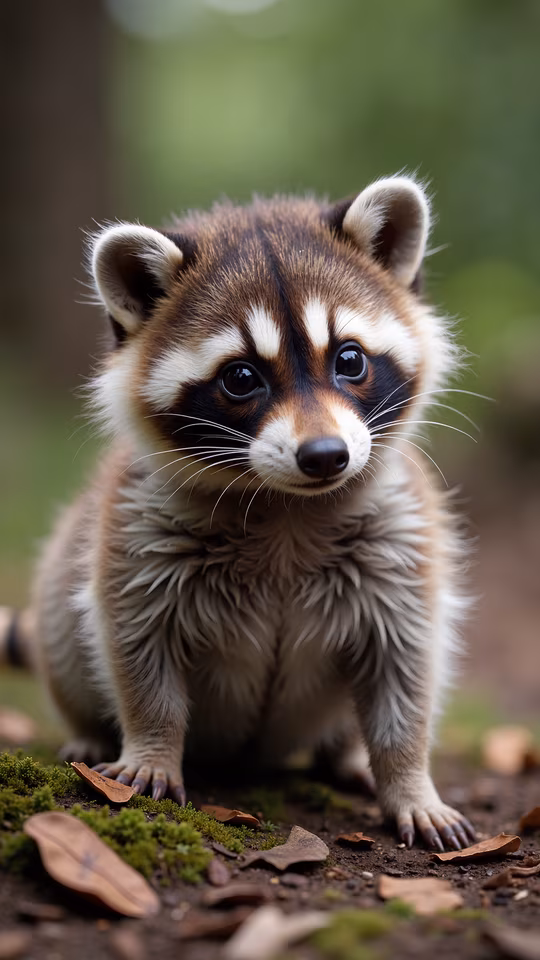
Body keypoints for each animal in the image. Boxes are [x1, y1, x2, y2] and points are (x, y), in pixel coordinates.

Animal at [1, 176, 476, 851]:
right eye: (241, 377)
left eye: (349, 360)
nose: (325, 456)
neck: (287, 503)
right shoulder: (137, 526)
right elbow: (135, 644)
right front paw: (152, 747)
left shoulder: (402, 534)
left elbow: (405, 666)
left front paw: (410, 778)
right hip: (63, 608)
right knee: (67, 635)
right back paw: (90, 730)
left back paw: (345, 754)